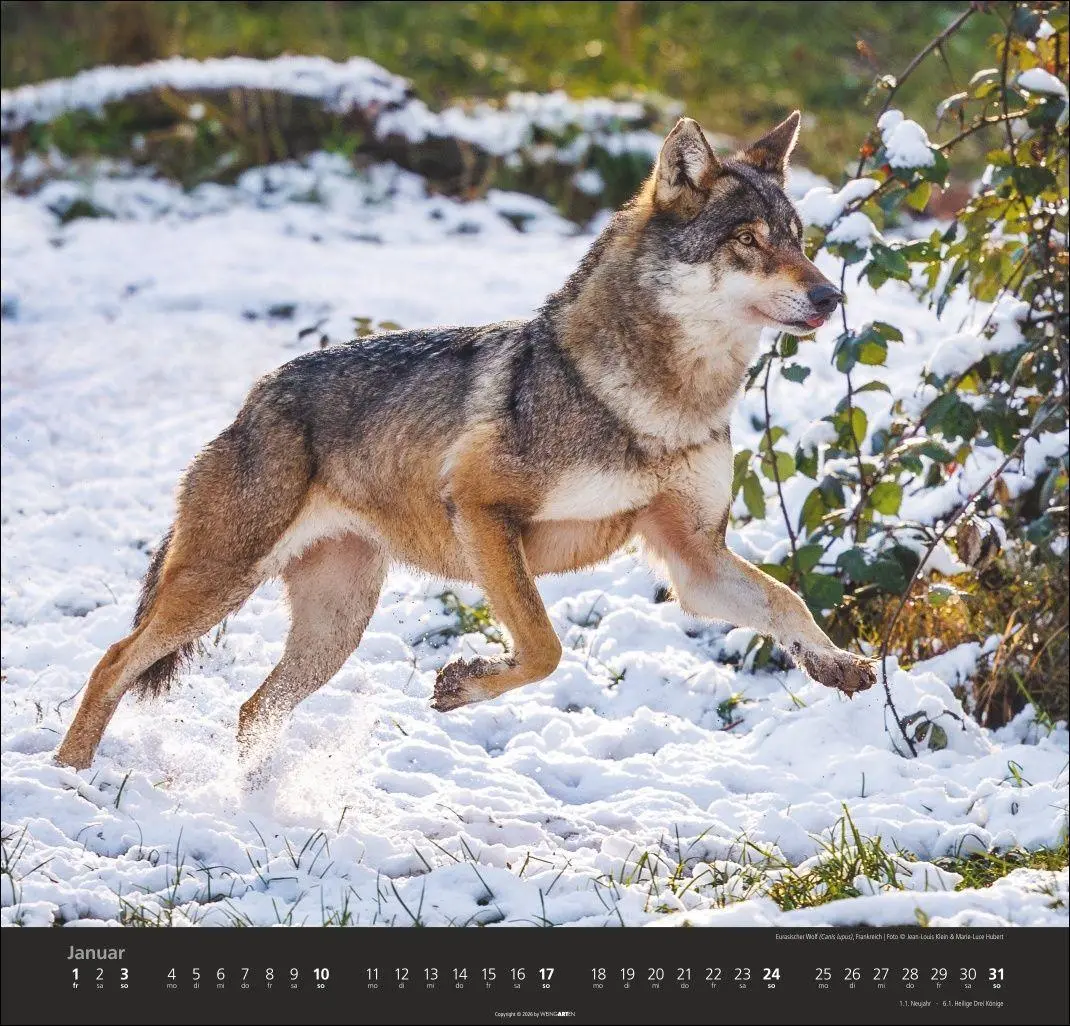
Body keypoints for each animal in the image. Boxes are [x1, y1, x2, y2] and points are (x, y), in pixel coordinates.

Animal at [55, 112, 874, 771]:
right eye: (748, 242)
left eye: (799, 240)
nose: (830, 295)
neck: (660, 403)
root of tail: (255, 396)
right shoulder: (483, 510)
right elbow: (544, 646)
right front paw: (460, 685)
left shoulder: (694, 560)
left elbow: (787, 604)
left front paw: (837, 665)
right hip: (220, 586)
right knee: (111, 661)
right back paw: (71, 780)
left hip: (333, 628)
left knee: (253, 708)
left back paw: (253, 801)